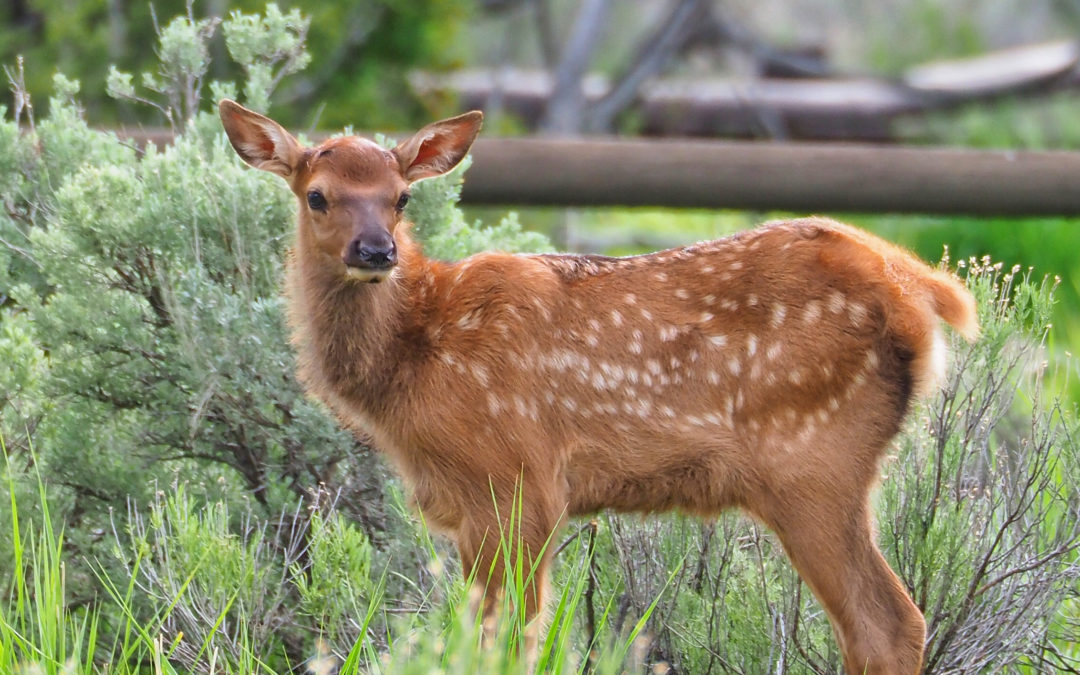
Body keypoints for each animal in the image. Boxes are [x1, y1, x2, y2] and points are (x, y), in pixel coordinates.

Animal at [219, 101, 980, 673]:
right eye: (317, 195)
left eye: (401, 197)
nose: (377, 251)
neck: (412, 360)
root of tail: (915, 286)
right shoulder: (467, 505)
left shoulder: (517, 480)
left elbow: (508, 643)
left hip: (814, 461)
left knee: (889, 623)